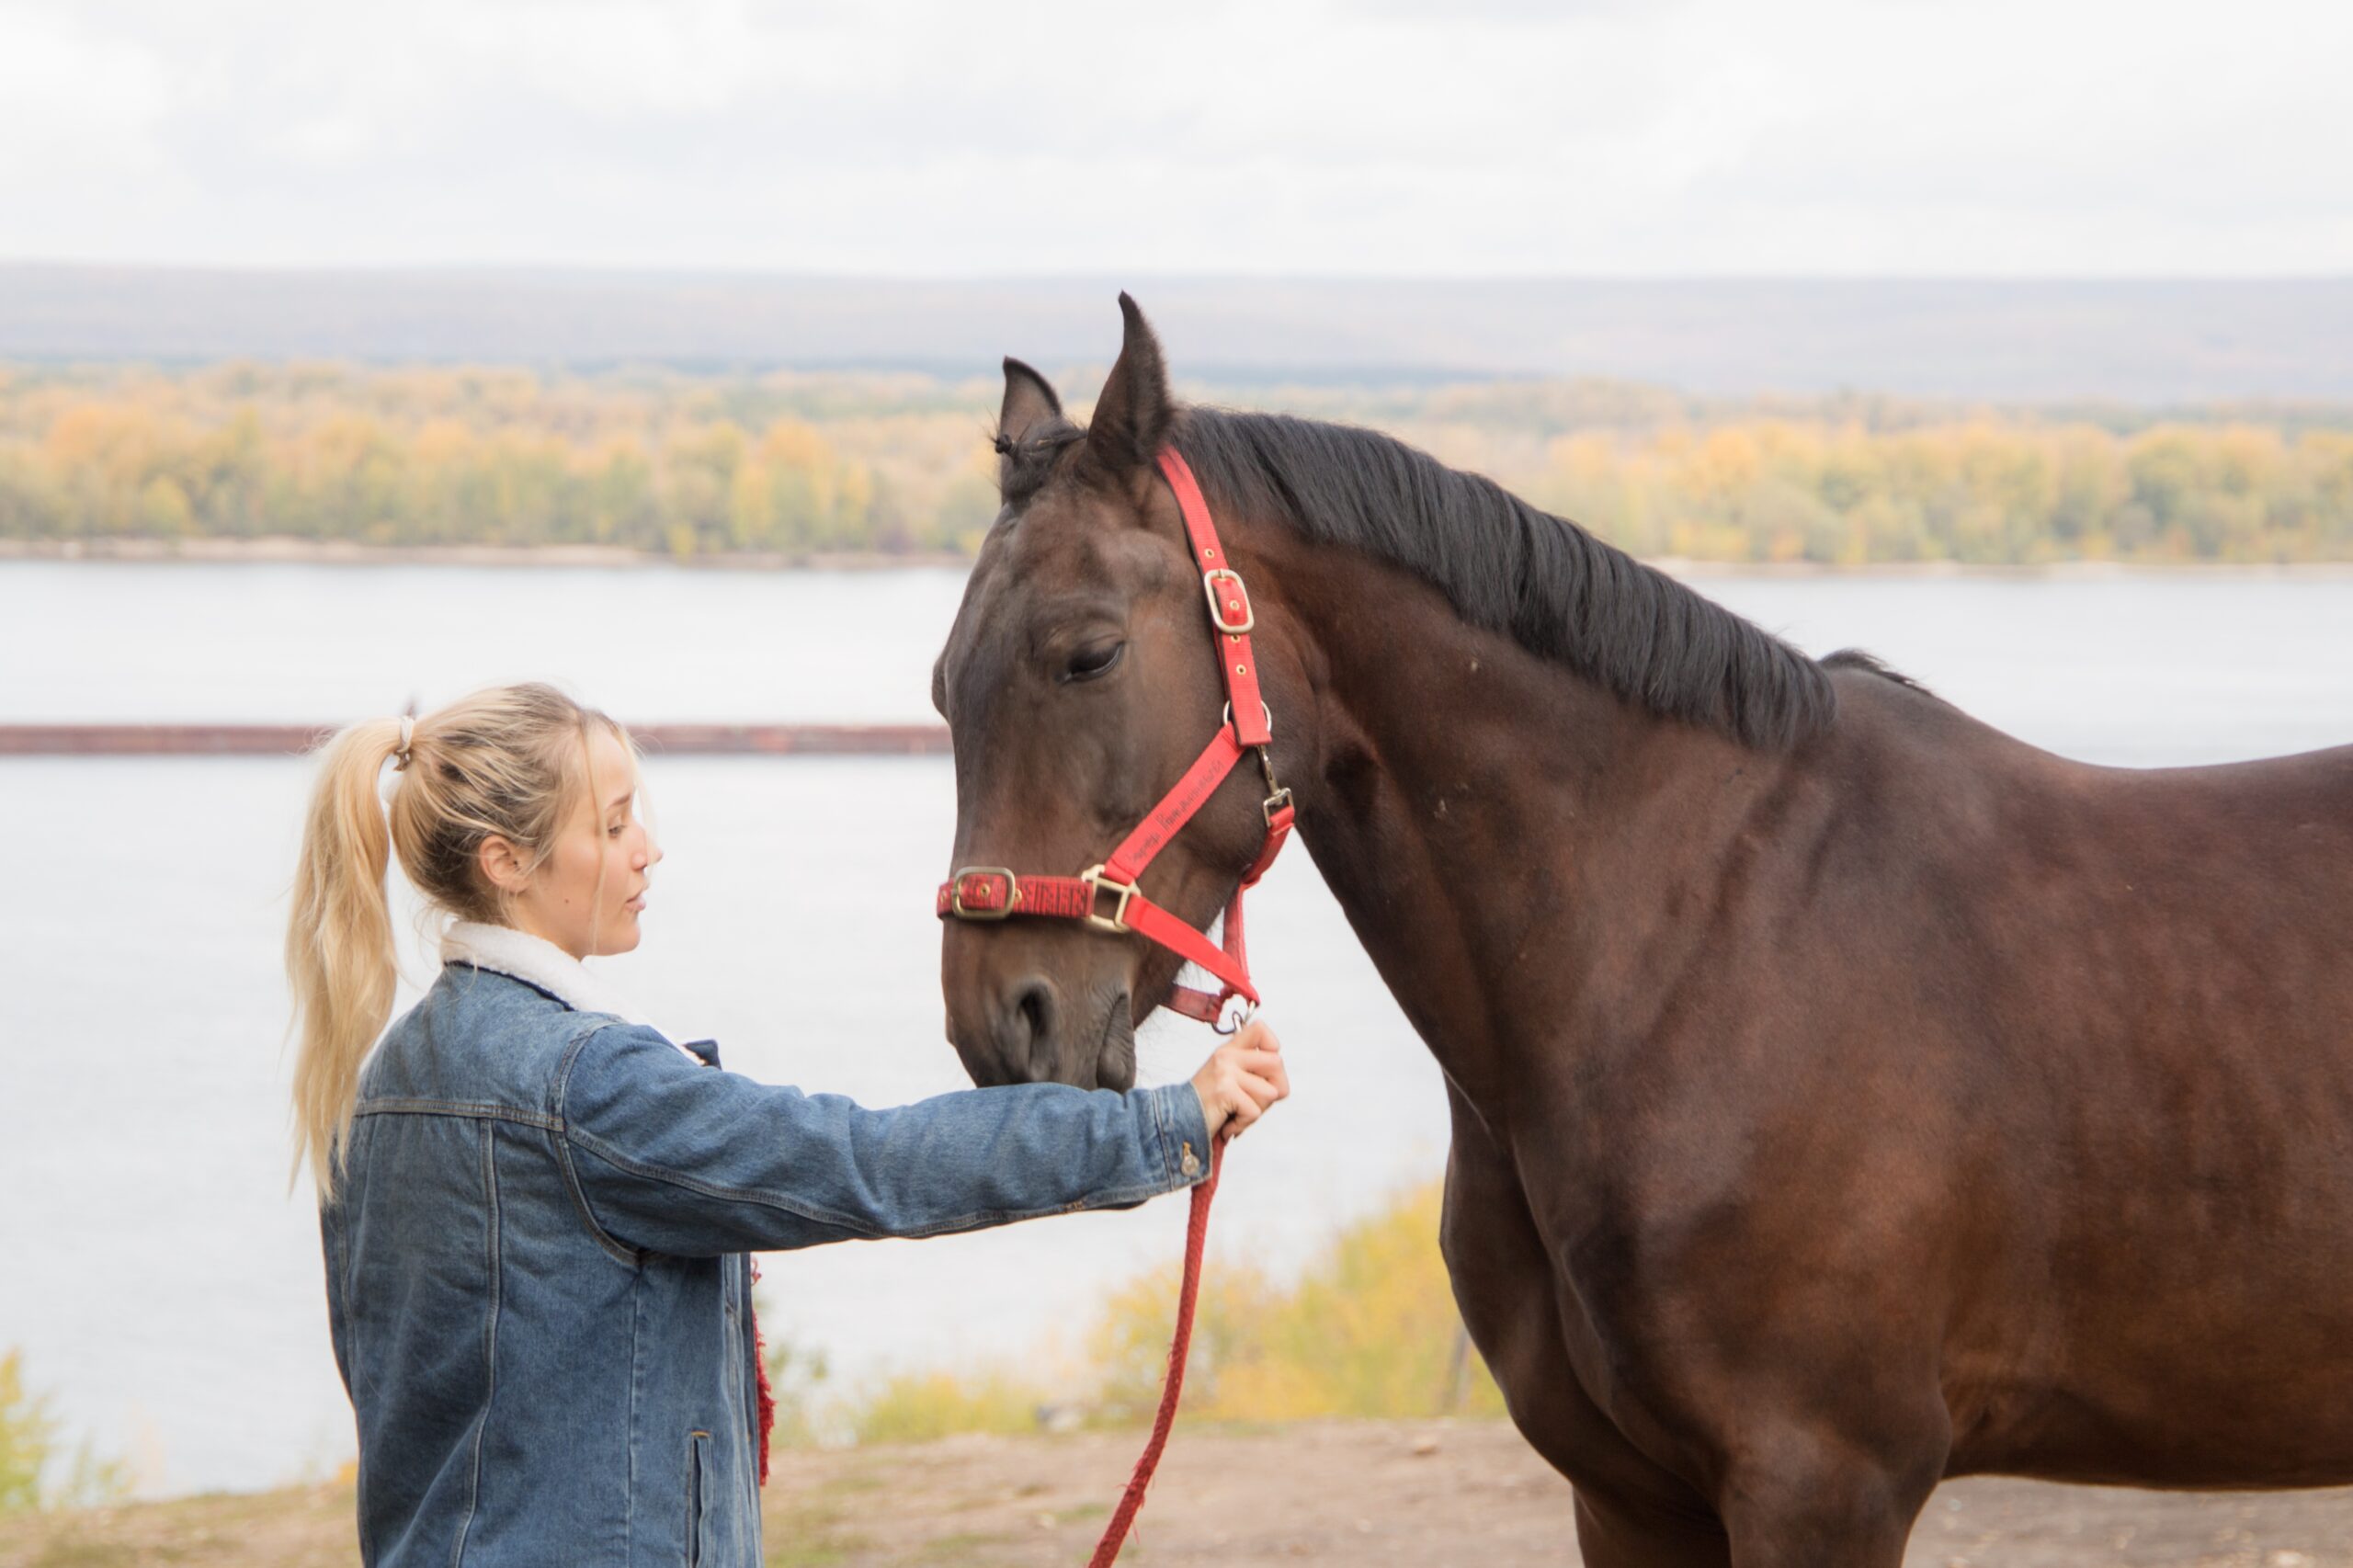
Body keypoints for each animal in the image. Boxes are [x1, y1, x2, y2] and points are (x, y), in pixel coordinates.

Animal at [929, 294, 2353, 1565]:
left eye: (1089, 653)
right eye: (943, 685)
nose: (1005, 1018)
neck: (1697, 943)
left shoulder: (1825, 1482)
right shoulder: (1626, 1495)